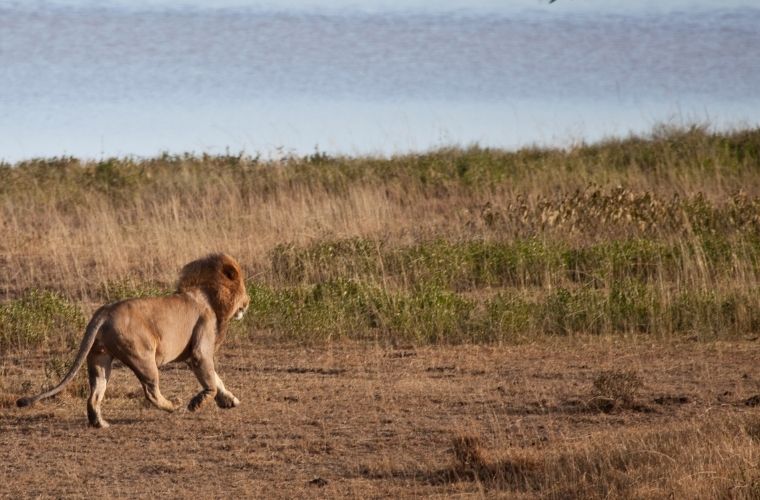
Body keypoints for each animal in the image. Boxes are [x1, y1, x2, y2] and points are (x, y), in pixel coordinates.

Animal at [17, 254, 249, 430]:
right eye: (244, 290)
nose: (248, 303)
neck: (210, 296)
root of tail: (104, 312)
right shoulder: (200, 349)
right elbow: (210, 381)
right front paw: (197, 404)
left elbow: (217, 379)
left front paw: (230, 400)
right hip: (143, 357)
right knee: (151, 392)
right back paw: (174, 404)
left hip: (99, 357)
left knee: (94, 394)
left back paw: (100, 423)